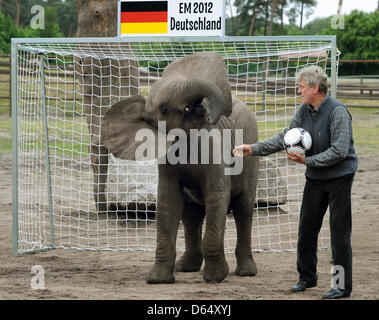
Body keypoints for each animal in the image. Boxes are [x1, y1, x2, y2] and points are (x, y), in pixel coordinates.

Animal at [101, 51, 260, 284]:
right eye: (166, 109)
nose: (208, 114)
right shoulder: (167, 160)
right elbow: (168, 201)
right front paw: (157, 280)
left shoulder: (213, 147)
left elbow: (216, 196)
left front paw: (215, 278)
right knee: (191, 215)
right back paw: (186, 268)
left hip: (251, 150)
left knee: (243, 209)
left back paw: (246, 272)